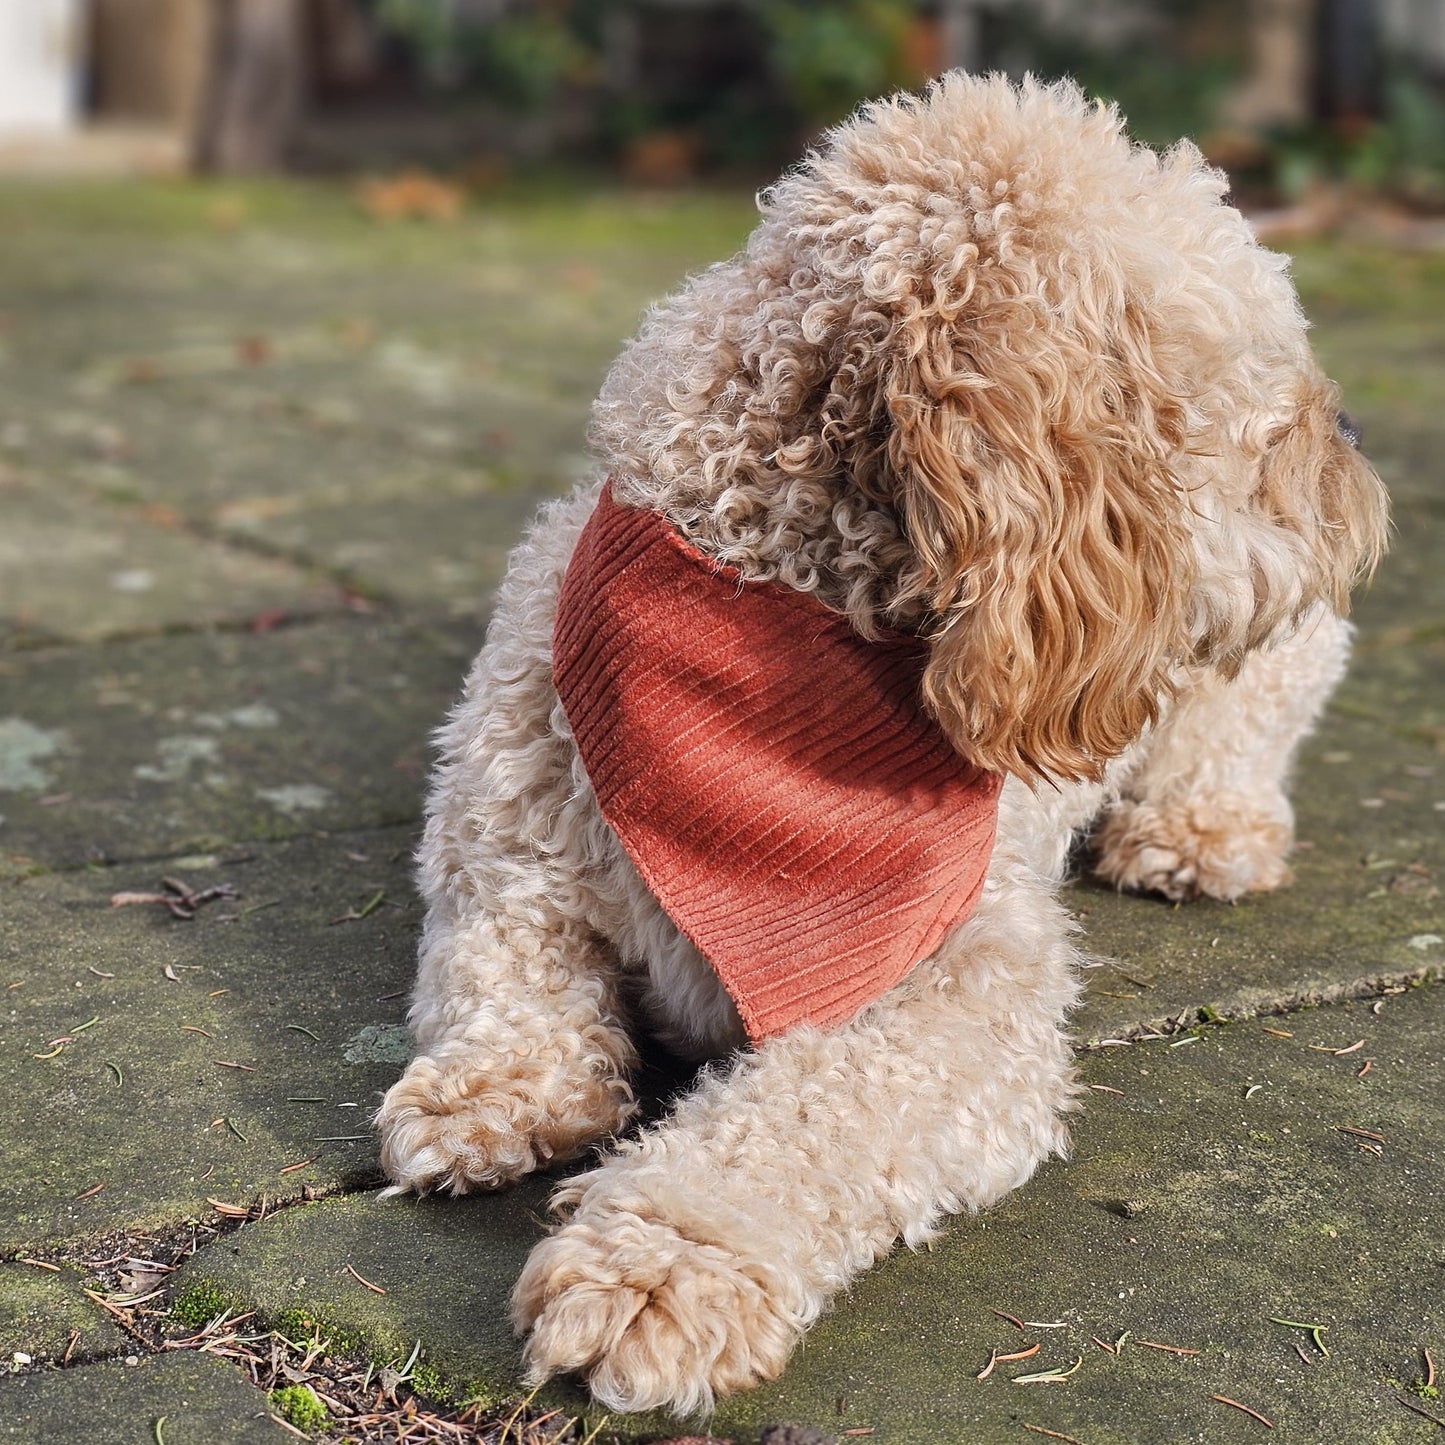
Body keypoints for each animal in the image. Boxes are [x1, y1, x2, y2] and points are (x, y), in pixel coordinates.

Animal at [375, 70, 1387, 1410]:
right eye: (1263, 411)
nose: (1356, 447)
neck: (770, 599)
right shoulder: (500, 840)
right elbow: (501, 971)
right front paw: (494, 1089)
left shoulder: (961, 990)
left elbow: (805, 1114)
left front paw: (661, 1264)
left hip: (1267, 661)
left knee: (1239, 730)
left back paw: (1196, 829)